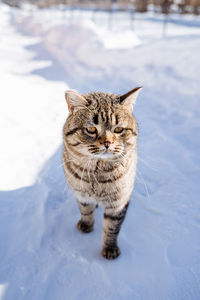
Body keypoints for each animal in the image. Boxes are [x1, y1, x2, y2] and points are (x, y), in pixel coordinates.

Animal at [62, 86, 142, 258]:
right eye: (91, 129)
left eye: (118, 129)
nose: (107, 143)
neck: (98, 173)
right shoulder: (81, 194)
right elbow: (85, 211)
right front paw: (86, 225)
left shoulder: (119, 202)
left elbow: (112, 227)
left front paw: (110, 248)